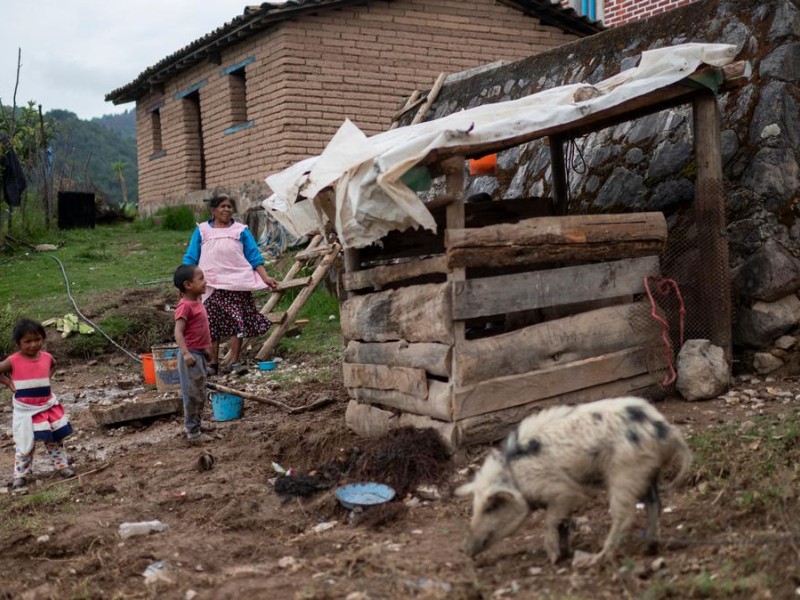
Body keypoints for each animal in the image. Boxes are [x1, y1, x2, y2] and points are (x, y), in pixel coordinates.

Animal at [454, 396, 692, 568]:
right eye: (474, 506)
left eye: (491, 507)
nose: (464, 549)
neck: (516, 477)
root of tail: (666, 429)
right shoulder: (562, 500)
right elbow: (563, 524)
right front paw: (565, 553)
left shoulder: (562, 491)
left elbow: (551, 522)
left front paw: (553, 559)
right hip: (647, 473)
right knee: (654, 505)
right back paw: (649, 548)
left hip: (625, 473)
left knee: (625, 516)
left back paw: (596, 560)